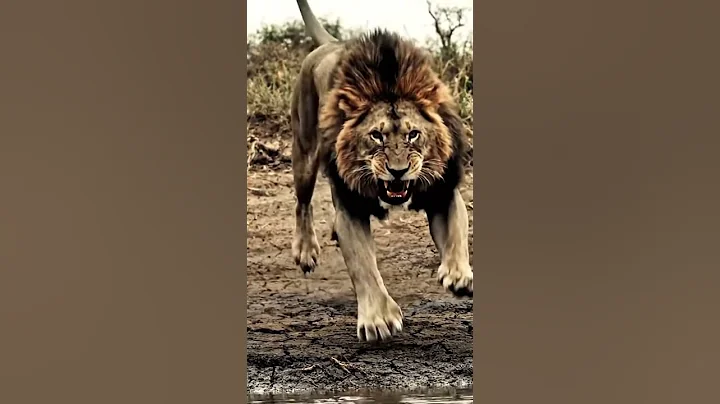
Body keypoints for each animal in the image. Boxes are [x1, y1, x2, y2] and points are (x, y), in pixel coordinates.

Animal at [290, 0, 473, 343]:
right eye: (376, 135)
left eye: (413, 134)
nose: (398, 172)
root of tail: (331, 42)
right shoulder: (351, 206)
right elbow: (363, 264)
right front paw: (378, 319)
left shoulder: (442, 192)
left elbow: (457, 234)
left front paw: (458, 276)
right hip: (304, 153)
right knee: (302, 203)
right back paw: (306, 251)